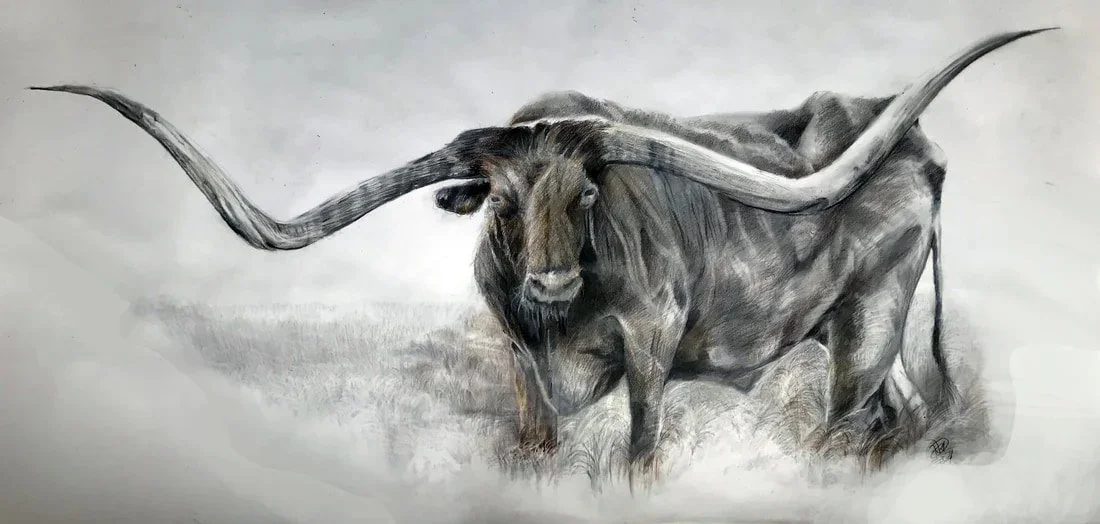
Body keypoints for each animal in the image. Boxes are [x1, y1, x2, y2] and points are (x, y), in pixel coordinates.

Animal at [31, 28, 1053, 485]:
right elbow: (534, 437)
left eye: (590, 192)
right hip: (868, 333)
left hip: (867, 325)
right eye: (503, 200)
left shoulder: (651, 344)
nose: (553, 276)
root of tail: (913, 140)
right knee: (902, 417)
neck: (562, 319)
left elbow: (641, 444)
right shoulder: (518, 357)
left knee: (847, 425)